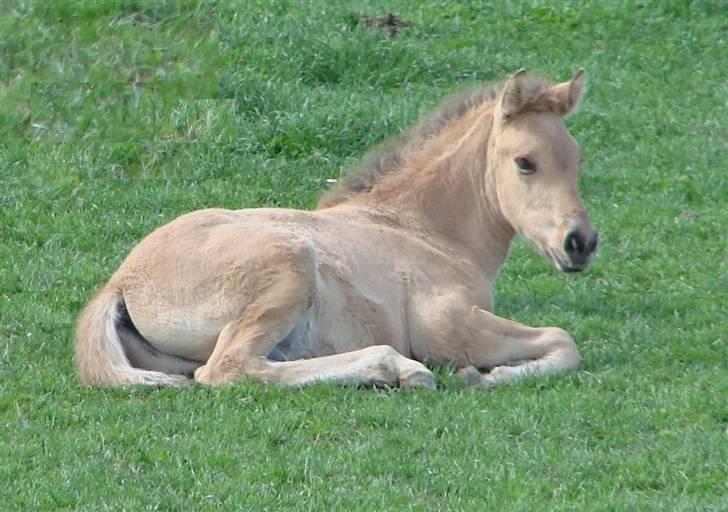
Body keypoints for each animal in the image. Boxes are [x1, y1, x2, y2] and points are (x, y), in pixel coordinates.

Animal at [75, 68, 596, 388]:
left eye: (577, 158)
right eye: (525, 162)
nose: (581, 243)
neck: (424, 230)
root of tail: (120, 282)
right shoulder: (445, 326)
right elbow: (563, 339)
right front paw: (487, 376)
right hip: (288, 267)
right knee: (228, 368)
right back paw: (395, 369)